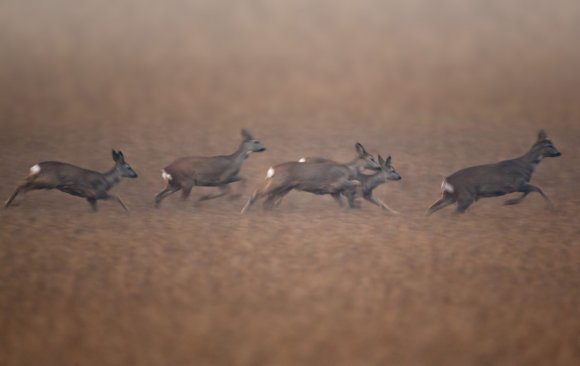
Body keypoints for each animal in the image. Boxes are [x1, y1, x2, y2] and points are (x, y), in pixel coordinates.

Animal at [4, 149, 139, 212]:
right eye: (128, 167)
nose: (136, 175)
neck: (107, 181)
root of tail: (36, 167)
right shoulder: (98, 193)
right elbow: (116, 197)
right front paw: (127, 211)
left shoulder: (90, 197)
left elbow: (95, 210)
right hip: (49, 181)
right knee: (22, 185)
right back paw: (13, 202)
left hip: (42, 180)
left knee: (24, 183)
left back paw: (8, 203)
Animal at [240, 142, 380, 213]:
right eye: (371, 158)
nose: (379, 167)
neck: (347, 169)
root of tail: (272, 169)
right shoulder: (337, 183)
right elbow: (356, 183)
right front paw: (357, 201)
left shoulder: (334, 192)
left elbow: (342, 205)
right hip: (277, 184)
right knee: (256, 194)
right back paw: (244, 212)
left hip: (284, 188)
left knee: (267, 202)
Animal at [426, 130, 560, 214]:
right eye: (549, 145)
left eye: (552, 144)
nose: (559, 153)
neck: (526, 167)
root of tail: (446, 180)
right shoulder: (515, 184)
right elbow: (537, 189)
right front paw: (551, 207)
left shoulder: (518, 185)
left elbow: (531, 191)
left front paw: (510, 202)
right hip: (465, 196)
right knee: (451, 213)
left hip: (450, 196)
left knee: (432, 208)